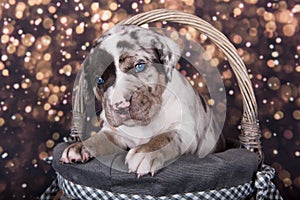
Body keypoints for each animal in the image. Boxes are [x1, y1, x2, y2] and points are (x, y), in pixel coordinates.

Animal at [60, 24, 225, 177]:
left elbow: (165, 136)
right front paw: (80, 146)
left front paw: (145, 152)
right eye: (99, 80)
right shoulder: (115, 133)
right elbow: (100, 138)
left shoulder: (186, 131)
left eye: (139, 66)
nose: (120, 105)